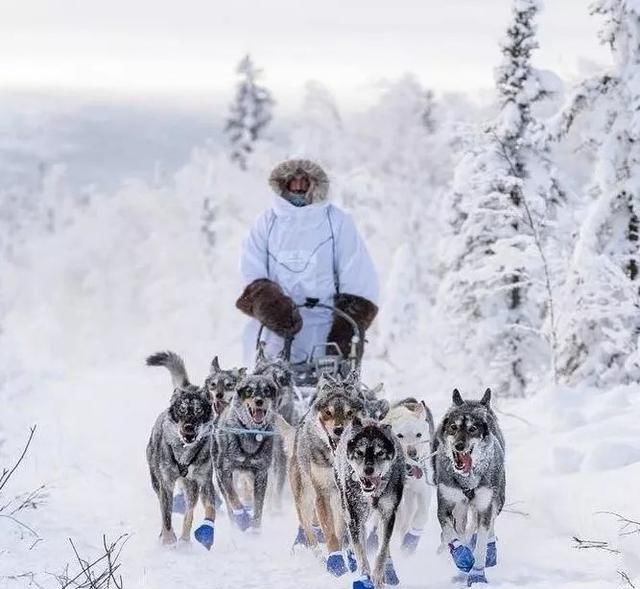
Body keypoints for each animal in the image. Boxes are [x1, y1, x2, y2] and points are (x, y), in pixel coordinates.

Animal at [384, 398, 436, 552]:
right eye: (400, 435)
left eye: (418, 434)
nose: (412, 453)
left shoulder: (423, 490)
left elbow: (421, 516)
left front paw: (410, 541)